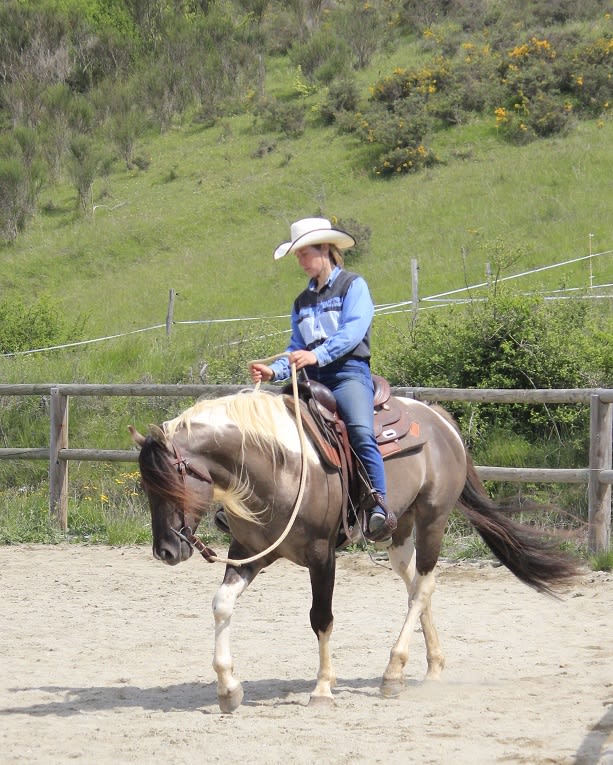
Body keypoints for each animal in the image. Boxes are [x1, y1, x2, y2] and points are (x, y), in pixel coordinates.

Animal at [130, 386, 580, 713]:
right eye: (146, 487)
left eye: (171, 482)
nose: (165, 551)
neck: (278, 466)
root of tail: (440, 419)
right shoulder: (250, 552)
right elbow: (222, 604)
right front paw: (228, 689)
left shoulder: (321, 554)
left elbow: (321, 618)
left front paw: (323, 689)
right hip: (400, 530)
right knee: (416, 584)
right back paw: (432, 667)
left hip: (433, 520)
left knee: (422, 587)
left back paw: (393, 673)